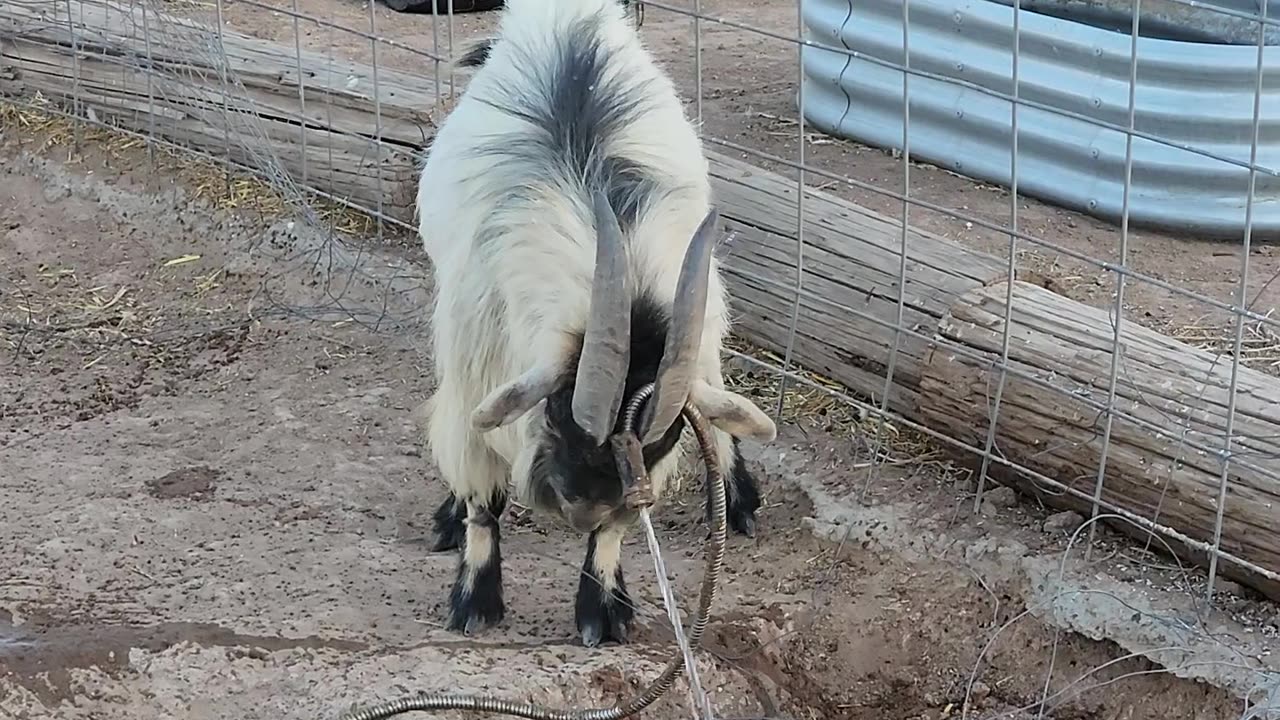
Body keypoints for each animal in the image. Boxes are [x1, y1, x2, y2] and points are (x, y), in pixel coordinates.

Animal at [422, 0, 778, 645]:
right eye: (559, 414)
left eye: (666, 437)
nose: (580, 509)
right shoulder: (476, 363)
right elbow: (481, 489)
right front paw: (475, 599)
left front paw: (603, 609)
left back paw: (739, 499)